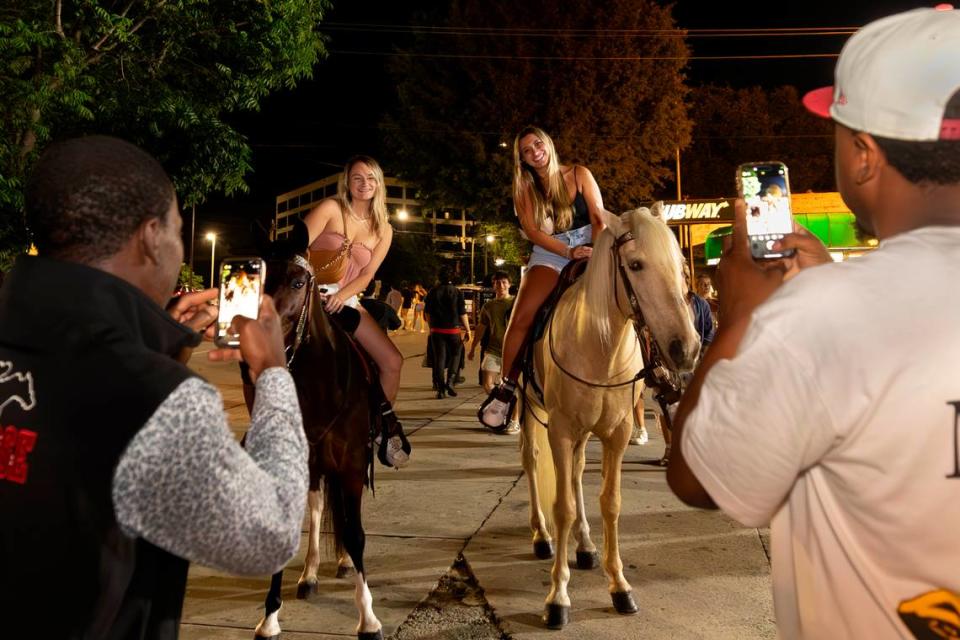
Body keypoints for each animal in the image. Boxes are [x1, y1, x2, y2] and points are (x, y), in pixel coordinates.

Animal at [253, 221, 388, 640]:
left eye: (299, 282)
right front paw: (270, 616)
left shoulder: (352, 460)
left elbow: (356, 533)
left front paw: (368, 617)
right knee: (316, 506)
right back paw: (310, 574)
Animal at [520, 206, 700, 632]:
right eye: (635, 265)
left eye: (681, 266)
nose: (686, 349)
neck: (599, 347)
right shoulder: (561, 430)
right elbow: (563, 507)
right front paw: (558, 597)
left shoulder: (616, 433)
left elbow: (610, 502)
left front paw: (619, 585)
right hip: (530, 407)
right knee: (533, 463)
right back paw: (541, 536)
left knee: (575, 472)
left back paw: (585, 545)